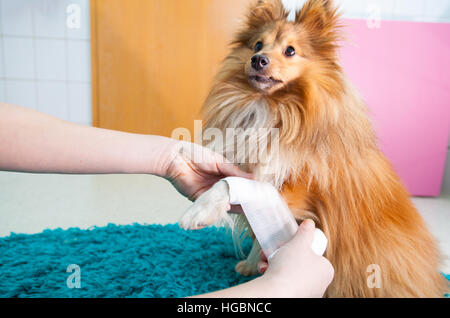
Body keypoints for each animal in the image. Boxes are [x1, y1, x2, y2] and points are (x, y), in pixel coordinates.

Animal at [178, 0, 446, 298]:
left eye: (290, 50)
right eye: (257, 45)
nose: (258, 60)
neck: (272, 110)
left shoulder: (295, 191)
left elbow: (229, 184)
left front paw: (199, 210)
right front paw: (251, 264)